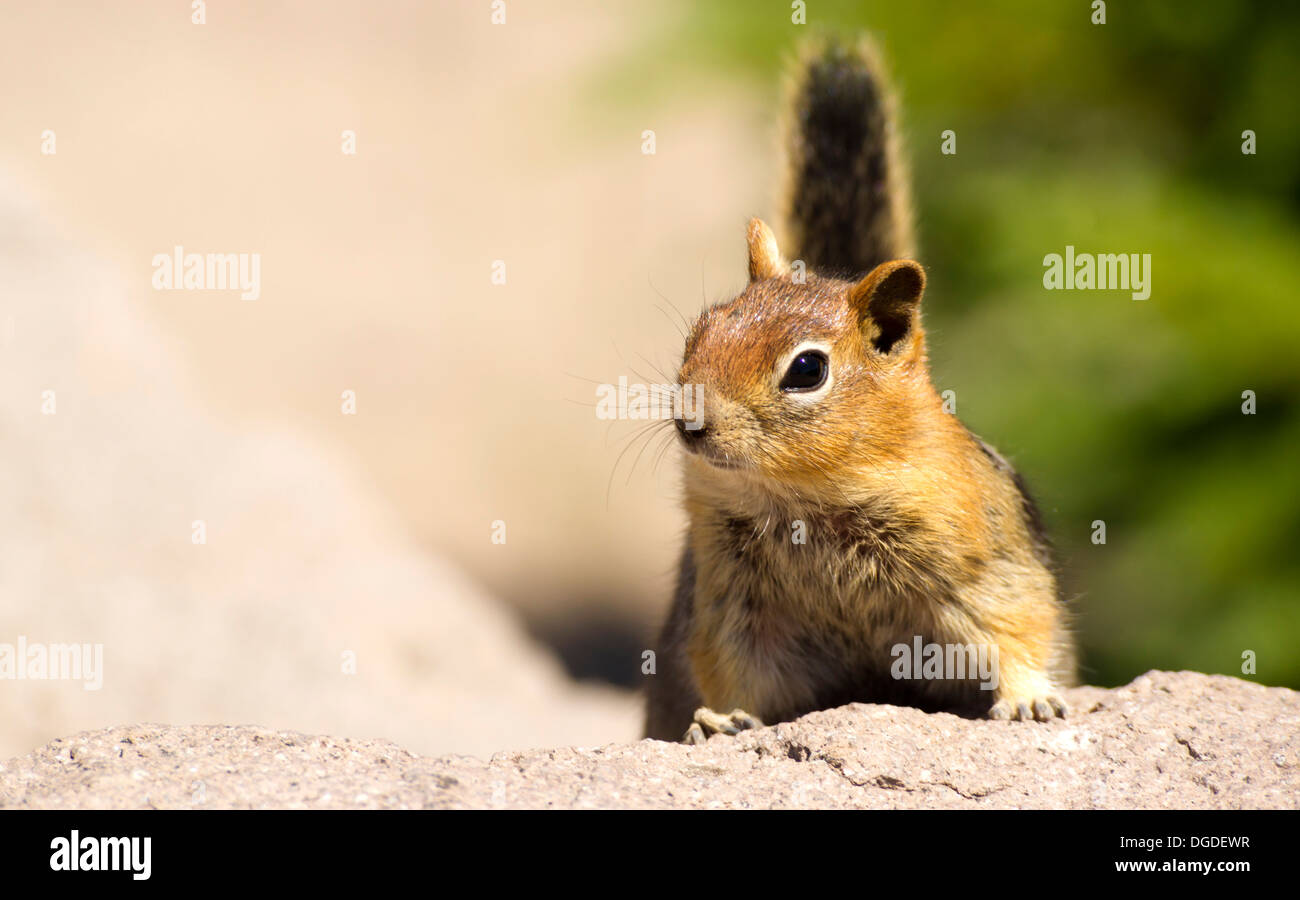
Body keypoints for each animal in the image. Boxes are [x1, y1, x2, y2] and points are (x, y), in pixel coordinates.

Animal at [642, 33, 1076, 743]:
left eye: (807, 370)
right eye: (702, 329)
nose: (691, 423)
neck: (807, 496)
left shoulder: (984, 567)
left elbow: (1016, 628)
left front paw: (1030, 698)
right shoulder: (731, 603)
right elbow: (734, 667)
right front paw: (721, 719)